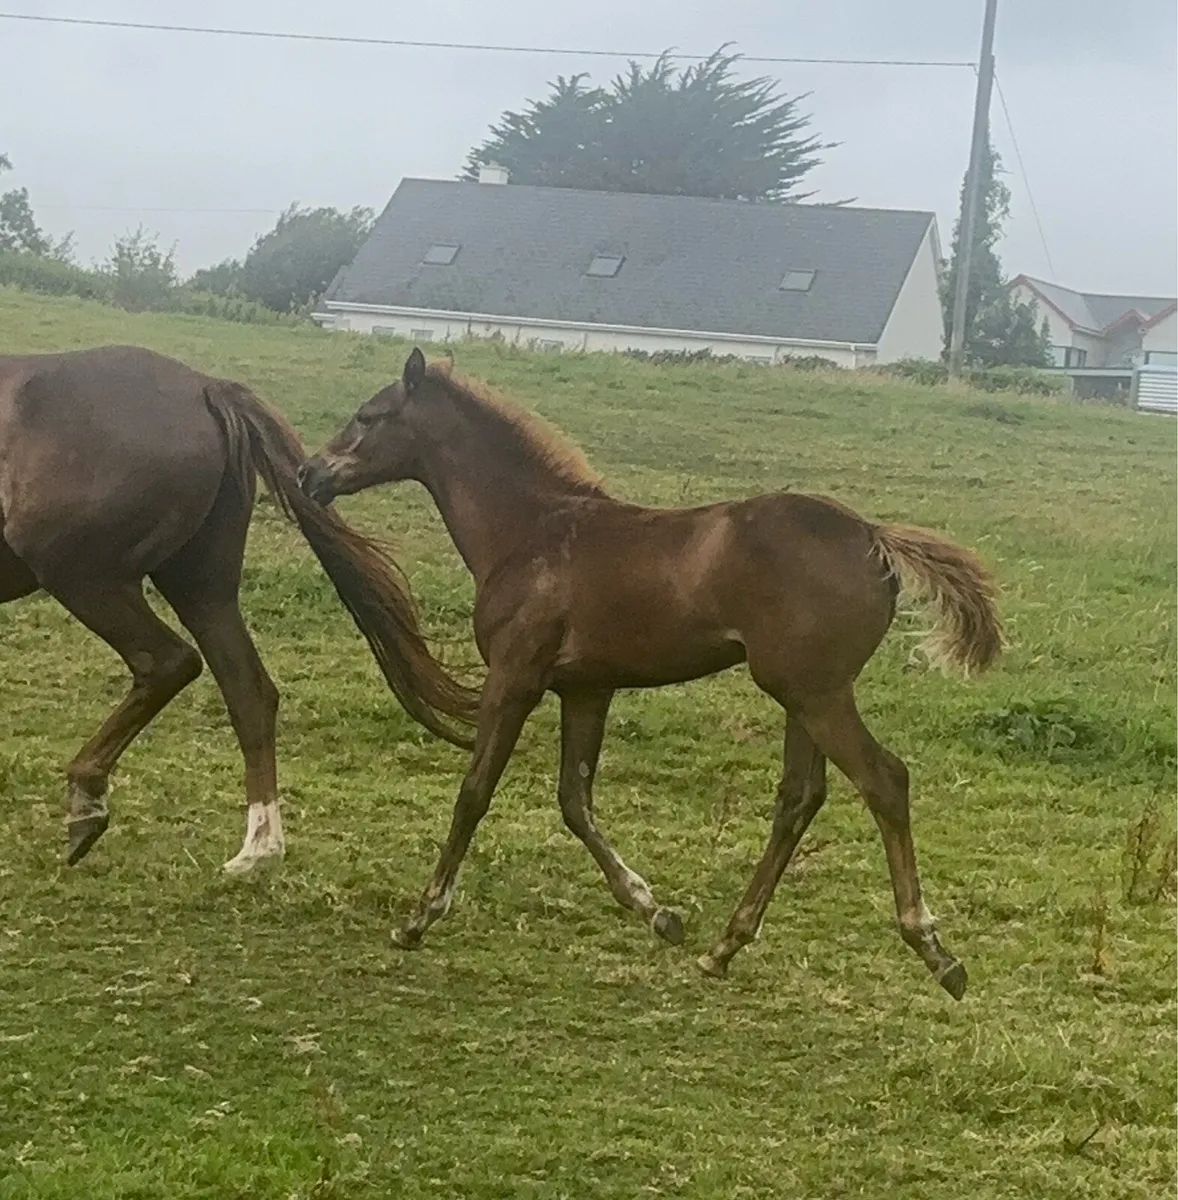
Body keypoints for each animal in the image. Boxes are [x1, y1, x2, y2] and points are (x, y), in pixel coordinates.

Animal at [0, 345, 477, 871]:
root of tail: (207, 388)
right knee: (248, 690)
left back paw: (88, 802)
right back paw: (260, 846)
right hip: (203, 590)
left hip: (85, 577)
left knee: (168, 663)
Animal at [299, 349, 1002, 998]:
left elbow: (474, 793)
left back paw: (935, 951)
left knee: (885, 780)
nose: (309, 472)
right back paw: (723, 947)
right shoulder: (587, 688)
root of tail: (874, 537)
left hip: (816, 692)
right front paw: (658, 912)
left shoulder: (515, 677)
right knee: (800, 798)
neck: (530, 531)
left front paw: (419, 918)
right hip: (803, 694)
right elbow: (574, 800)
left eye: (368, 415)